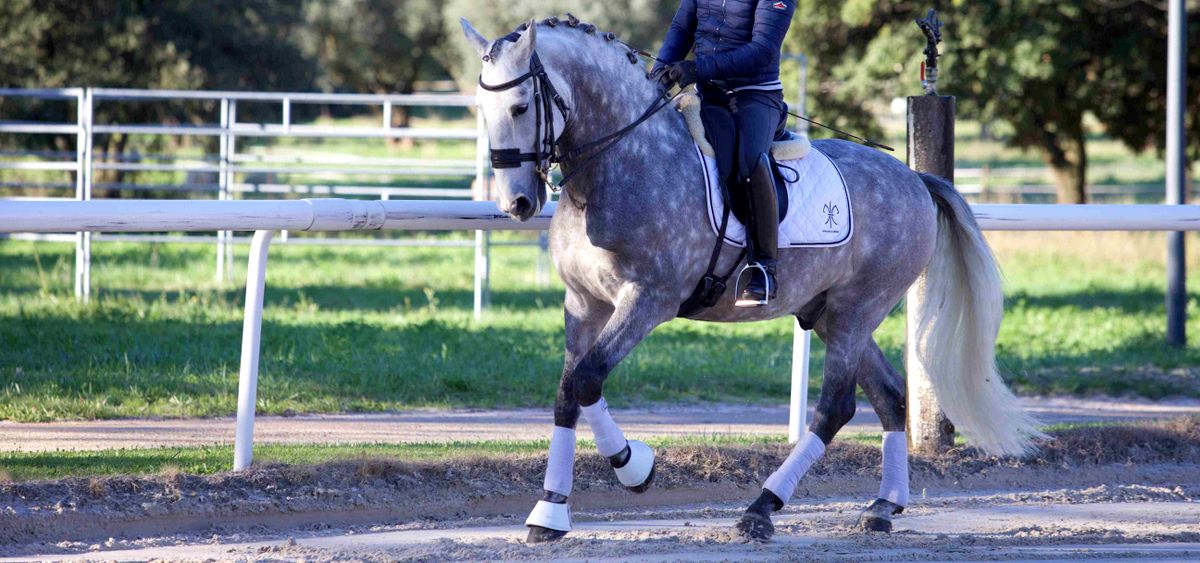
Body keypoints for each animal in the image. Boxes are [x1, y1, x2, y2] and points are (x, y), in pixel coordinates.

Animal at [458, 17, 1041, 542]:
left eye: (520, 107)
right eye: (484, 112)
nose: (516, 204)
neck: (622, 164)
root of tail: (916, 179)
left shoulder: (647, 300)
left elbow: (587, 380)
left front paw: (636, 467)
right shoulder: (582, 303)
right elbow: (567, 393)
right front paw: (550, 511)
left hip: (857, 309)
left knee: (836, 407)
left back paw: (761, 509)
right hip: (828, 312)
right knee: (891, 396)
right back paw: (882, 507)